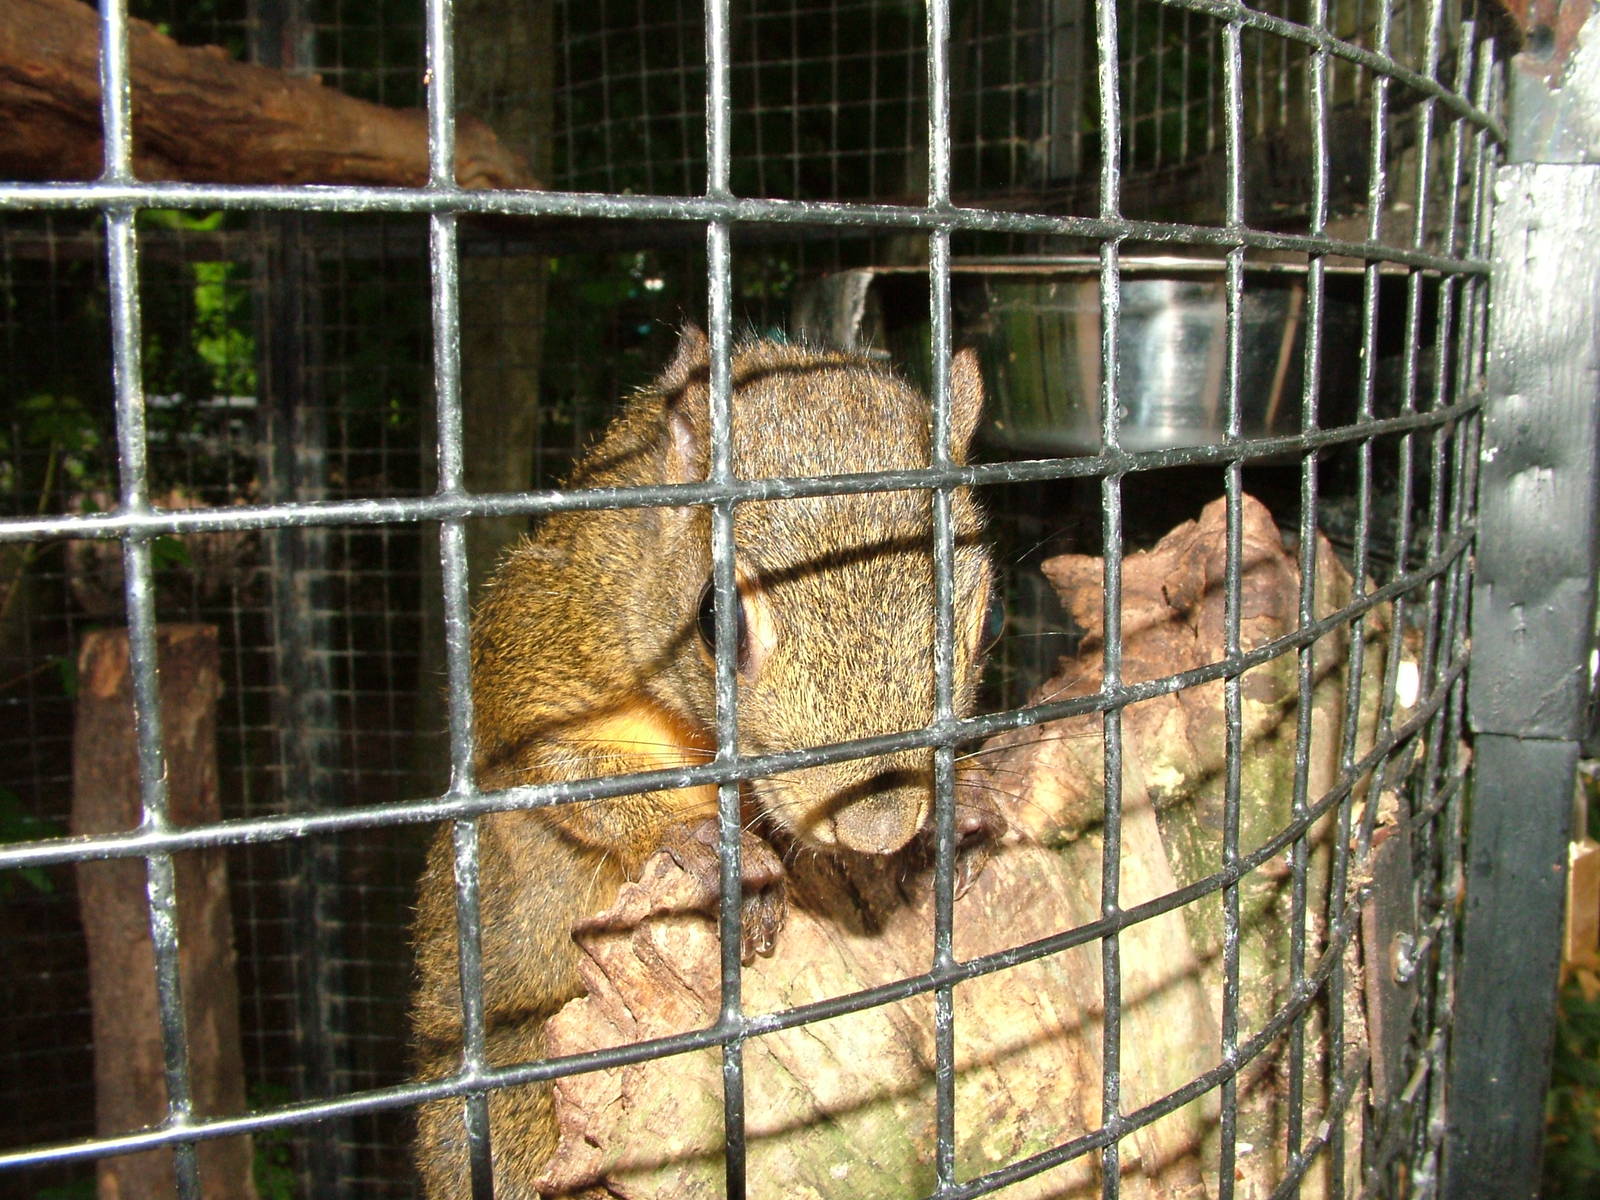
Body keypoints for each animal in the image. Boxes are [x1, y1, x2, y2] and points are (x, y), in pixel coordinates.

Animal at [409, 327, 1000, 1198]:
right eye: (715, 619)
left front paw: (962, 815)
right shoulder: (541, 651)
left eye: (982, 614)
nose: (877, 828)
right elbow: (559, 774)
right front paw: (709, 849)